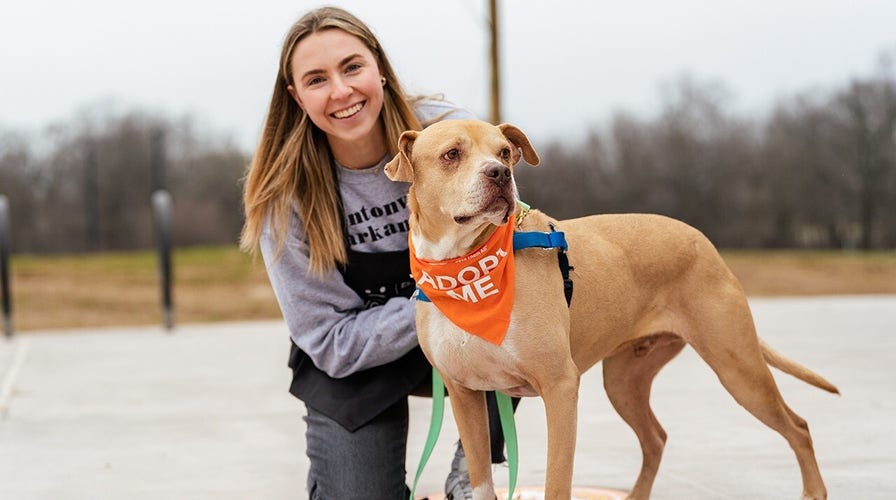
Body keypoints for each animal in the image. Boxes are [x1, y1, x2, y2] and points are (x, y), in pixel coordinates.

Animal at [384, 120, 832, 500]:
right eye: (452, 154)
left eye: (505, 152)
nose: (499, 173)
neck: (465, 270)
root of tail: (702, 240)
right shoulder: (465, 395)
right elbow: (480, 480)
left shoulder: (560, 388)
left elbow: (557, 483)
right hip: (624, 382)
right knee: (655, 438)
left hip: (738, 368)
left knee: (798, 427)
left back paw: (813, 491)